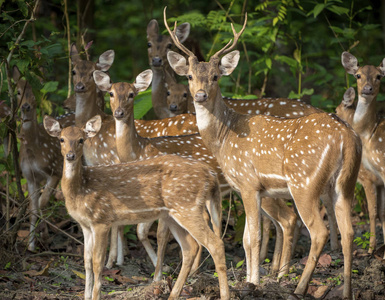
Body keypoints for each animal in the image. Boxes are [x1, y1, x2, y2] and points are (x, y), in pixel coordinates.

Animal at [12, 65, 62, 251]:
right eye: (18, 91)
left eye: (35, 92)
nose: (25, 106)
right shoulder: (30, 176)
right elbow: (32, 209)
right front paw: (31, 246)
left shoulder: (56, 170)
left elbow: (43, 201)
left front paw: (46, 236)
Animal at [42, 115, 228, 300]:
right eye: (61, 139)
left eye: (81, 139)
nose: (70, 155)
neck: (81, 189)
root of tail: (210, 174)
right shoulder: (85, 225)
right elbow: (86, 261)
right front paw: (86, 296)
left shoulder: (101, 219)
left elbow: (97, 262)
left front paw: (95, 295)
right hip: (173, 214)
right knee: (190, 247)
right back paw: (173, 294)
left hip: (187, 206)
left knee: (215, 244)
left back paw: (223, 294)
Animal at [93, 69, 296, 278]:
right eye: (111, 93)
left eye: (132, 94)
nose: (118, 113)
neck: (140, 150)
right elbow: (143, 231)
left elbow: (159, 234)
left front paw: (159, 274)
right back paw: (273, 268)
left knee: (287, 217)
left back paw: (280, 272)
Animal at [165, 9, 360, 298]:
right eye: (189, 76)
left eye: (215, 76)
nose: (200, 95)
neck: (225, 137)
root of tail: (347, 137)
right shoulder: (248, 188)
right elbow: (246, 239)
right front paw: (248, 280)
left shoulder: (248, 182)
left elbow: (254, 238)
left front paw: (254, 283)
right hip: (345, 183)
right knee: (349, 233)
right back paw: (346, 290)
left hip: (304, 182)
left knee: (319, 231)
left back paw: (299, 286)